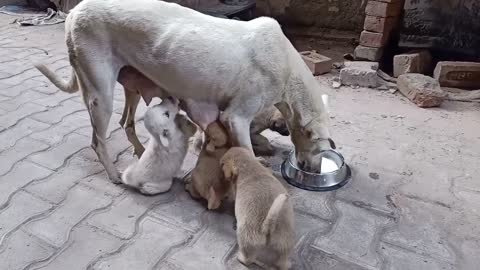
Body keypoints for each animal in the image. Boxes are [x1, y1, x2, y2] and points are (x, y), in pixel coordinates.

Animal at [34, 0, 334, 184]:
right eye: (321, 148)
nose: (314, 171)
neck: (288, 70)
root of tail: (75, 10)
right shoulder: (236, 117)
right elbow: (246, 148)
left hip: (127, 88)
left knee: (125, 122)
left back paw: (140, 150)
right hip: (100, 95)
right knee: (98, 141)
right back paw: (114, 175)